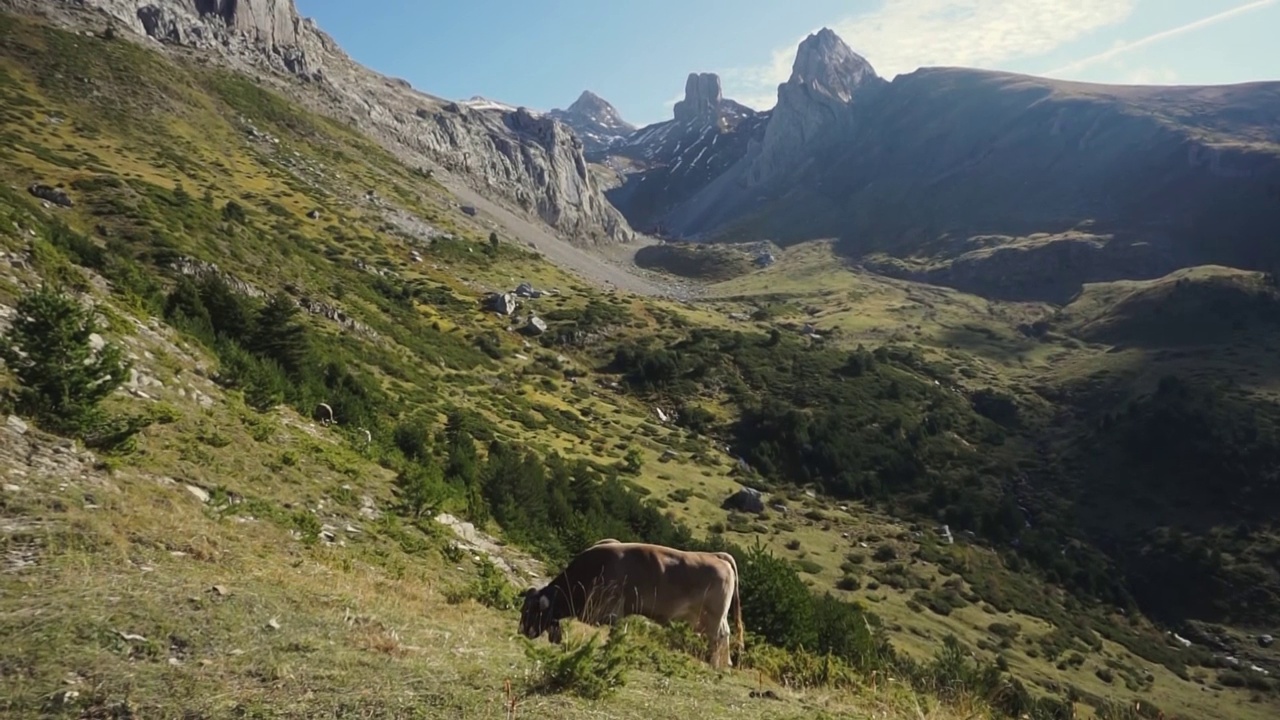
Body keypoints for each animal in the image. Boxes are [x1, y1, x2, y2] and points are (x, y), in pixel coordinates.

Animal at [517, 538, 747, 666]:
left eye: (531, 611)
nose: (521, 632)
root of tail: (716, 556)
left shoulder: (608, 613)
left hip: (714, 614)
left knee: (719, 636)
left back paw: (715, 663)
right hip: (705, 618)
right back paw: (723, 663)